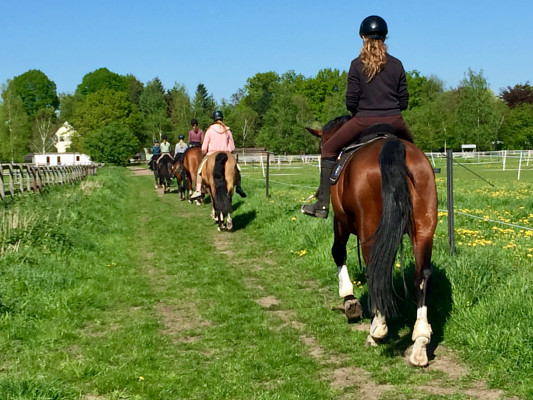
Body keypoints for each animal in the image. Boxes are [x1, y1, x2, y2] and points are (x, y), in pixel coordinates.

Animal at [308, 115, 436, 366]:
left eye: (320, 147)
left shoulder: (341, 222)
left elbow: (338, 252)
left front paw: (349, 300)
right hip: (424, 230)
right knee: (421, 276)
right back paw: (420, 342)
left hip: (369, 227)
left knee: (374, 268)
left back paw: (377, 330)